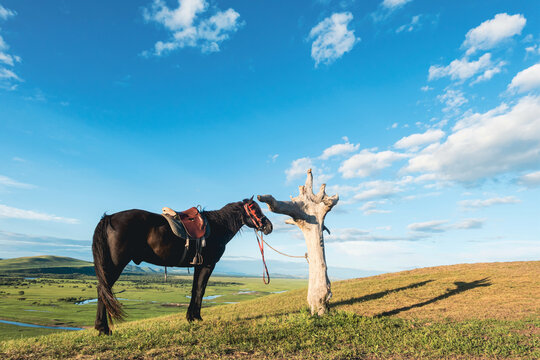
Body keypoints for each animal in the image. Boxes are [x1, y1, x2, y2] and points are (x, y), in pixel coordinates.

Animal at [91, 197, 274, 334]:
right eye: (254, 209)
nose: (269, 226)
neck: (218, 226)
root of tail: (109, 218)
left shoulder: (198, 265)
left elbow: (195, 290)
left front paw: (191, 317)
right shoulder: (208, 265)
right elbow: (200, 290)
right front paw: (196, 317)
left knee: (103, 289)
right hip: (116, 264)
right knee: (103, 289)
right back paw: (103, 328)